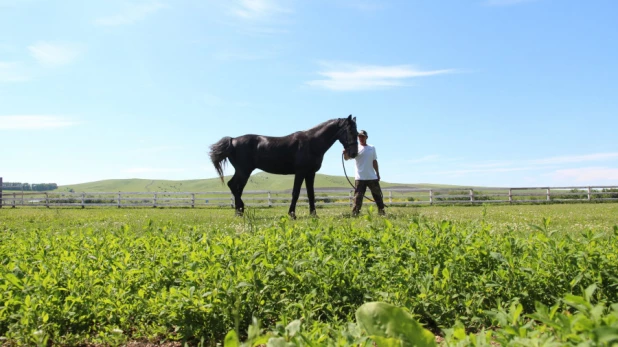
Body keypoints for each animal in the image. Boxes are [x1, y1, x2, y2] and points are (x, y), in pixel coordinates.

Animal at [209, 115, 358, 218]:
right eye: (350, 131)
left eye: (357, 132)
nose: (354, 153)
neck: (311, 142)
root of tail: (233, 140)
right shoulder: (300, 172)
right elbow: (296, 193)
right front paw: (292, 214)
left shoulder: (310, 173)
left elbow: (311, 194)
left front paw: (314, 214)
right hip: (243, 171)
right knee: (234, 186)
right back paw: (240, 209)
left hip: (242, 172)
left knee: (236, 188)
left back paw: (239, 212)